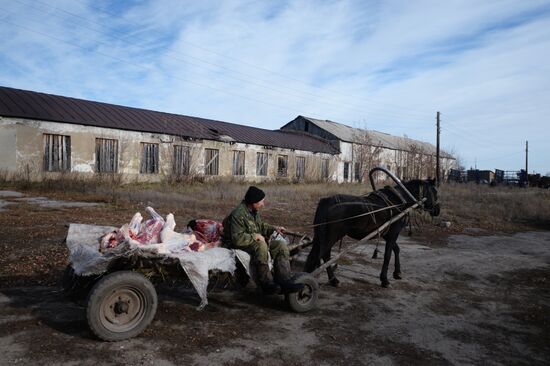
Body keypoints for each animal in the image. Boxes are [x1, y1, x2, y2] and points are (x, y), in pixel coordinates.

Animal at [304, 179, 442, 288]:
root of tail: (327, 201)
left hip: (320, 235)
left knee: (316, 254)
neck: (400, 201)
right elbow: (387, 255)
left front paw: (397, 273)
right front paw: (384, 280)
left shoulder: (387, 234)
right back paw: (331, 280)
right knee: (325, 255)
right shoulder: (393, 233)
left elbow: (396, 249)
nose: (437, 210)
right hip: (332, 235)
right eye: (434, 192)